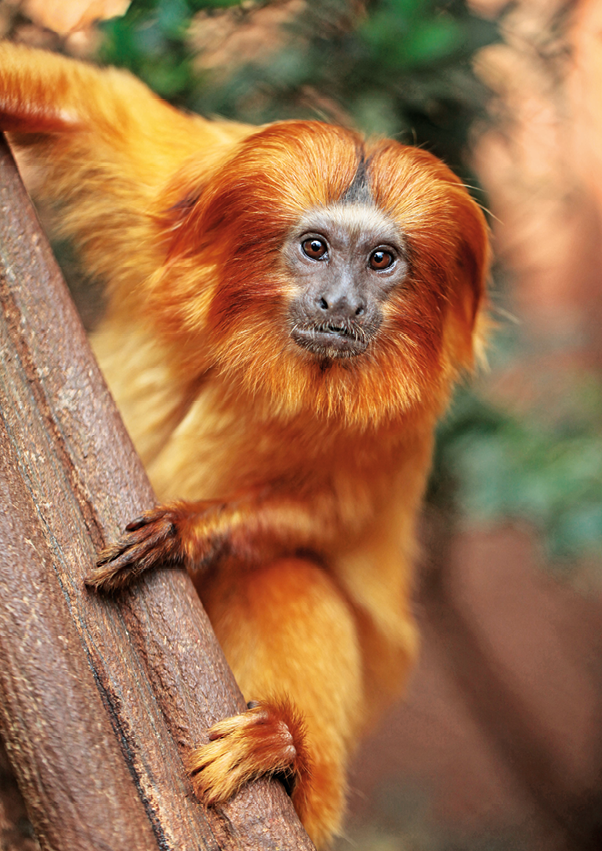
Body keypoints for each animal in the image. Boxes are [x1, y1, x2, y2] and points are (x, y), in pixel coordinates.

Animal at [0, 38, 488, 844]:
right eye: (315, 247)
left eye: (380, 260)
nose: (342, 303)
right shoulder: (173, 198)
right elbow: (79, 102)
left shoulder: (402, 419)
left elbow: (330, 518)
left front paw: (187, 529)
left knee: (286, 573)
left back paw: (285, 755)